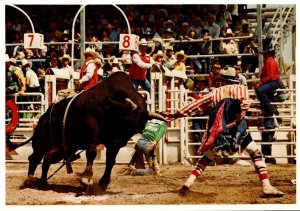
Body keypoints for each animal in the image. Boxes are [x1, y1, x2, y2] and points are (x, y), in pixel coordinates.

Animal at [11, 72, 165, 193]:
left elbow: (111, 161)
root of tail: (43, 117)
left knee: (47, 160)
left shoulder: (112, 143)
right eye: (125, 121)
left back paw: (43, 182)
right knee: (34, 158)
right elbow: (91, 152)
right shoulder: (93, 132)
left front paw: (102, 184)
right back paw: (29, 180)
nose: (121, 142)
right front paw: (87, 178)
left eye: (137, 129)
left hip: (62, 149)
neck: (110, 108)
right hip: (41, 142)